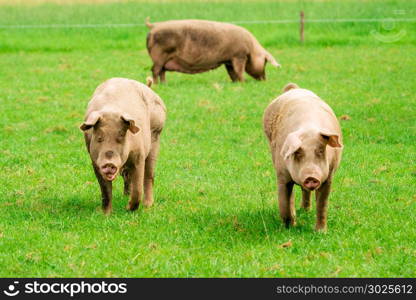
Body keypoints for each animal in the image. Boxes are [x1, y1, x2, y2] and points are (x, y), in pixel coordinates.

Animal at [79, 77, 166, 213]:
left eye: (121, 137)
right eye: (99, 138)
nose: (109, 163)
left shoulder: (139, 154)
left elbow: (138, 188)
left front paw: (129, 209)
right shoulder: (95, 160)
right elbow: (105, 191)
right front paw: (106, 214)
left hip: (156, 136)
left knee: (149, 175)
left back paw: (147, 205)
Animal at [145, 17, 282, 83]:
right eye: (265, 62)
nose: (264, 80)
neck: (251, 49)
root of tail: (154, 26)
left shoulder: (229, 60)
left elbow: (232, 73)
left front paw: (236, 83)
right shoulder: (239, 55)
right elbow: (239, 70)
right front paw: (244, 82)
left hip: (164, 58)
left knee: (162, 71)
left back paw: (164, 84)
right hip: (159, 55)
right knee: (155, 70)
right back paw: (157, 84)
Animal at [264, 83, 344, 231]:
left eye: (320, 151)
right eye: (298, 153)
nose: (311, 176)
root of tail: (294, 89)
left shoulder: (328, 175)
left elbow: (322, 205)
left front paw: (320, 232)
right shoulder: (281, 174)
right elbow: (284, 202)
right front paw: (289, 228)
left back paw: (306, 211)